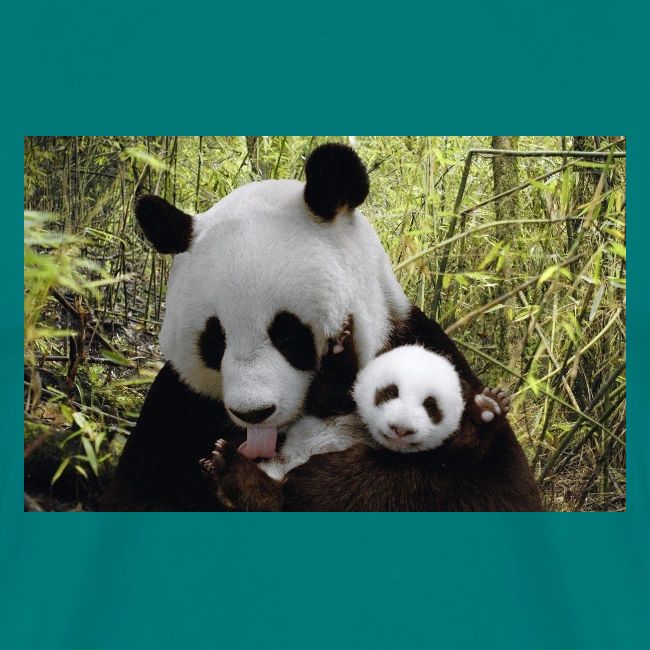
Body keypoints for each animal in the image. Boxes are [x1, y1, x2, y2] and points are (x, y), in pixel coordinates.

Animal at [199, 344, 542, 511]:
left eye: (431, 406)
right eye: (390, 392)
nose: (400, 429)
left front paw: (488, 409)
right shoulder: (342, 403)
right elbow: (327, 393)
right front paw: (339, 349)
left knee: (272, 501)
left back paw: (229, 464)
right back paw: (217, 462)